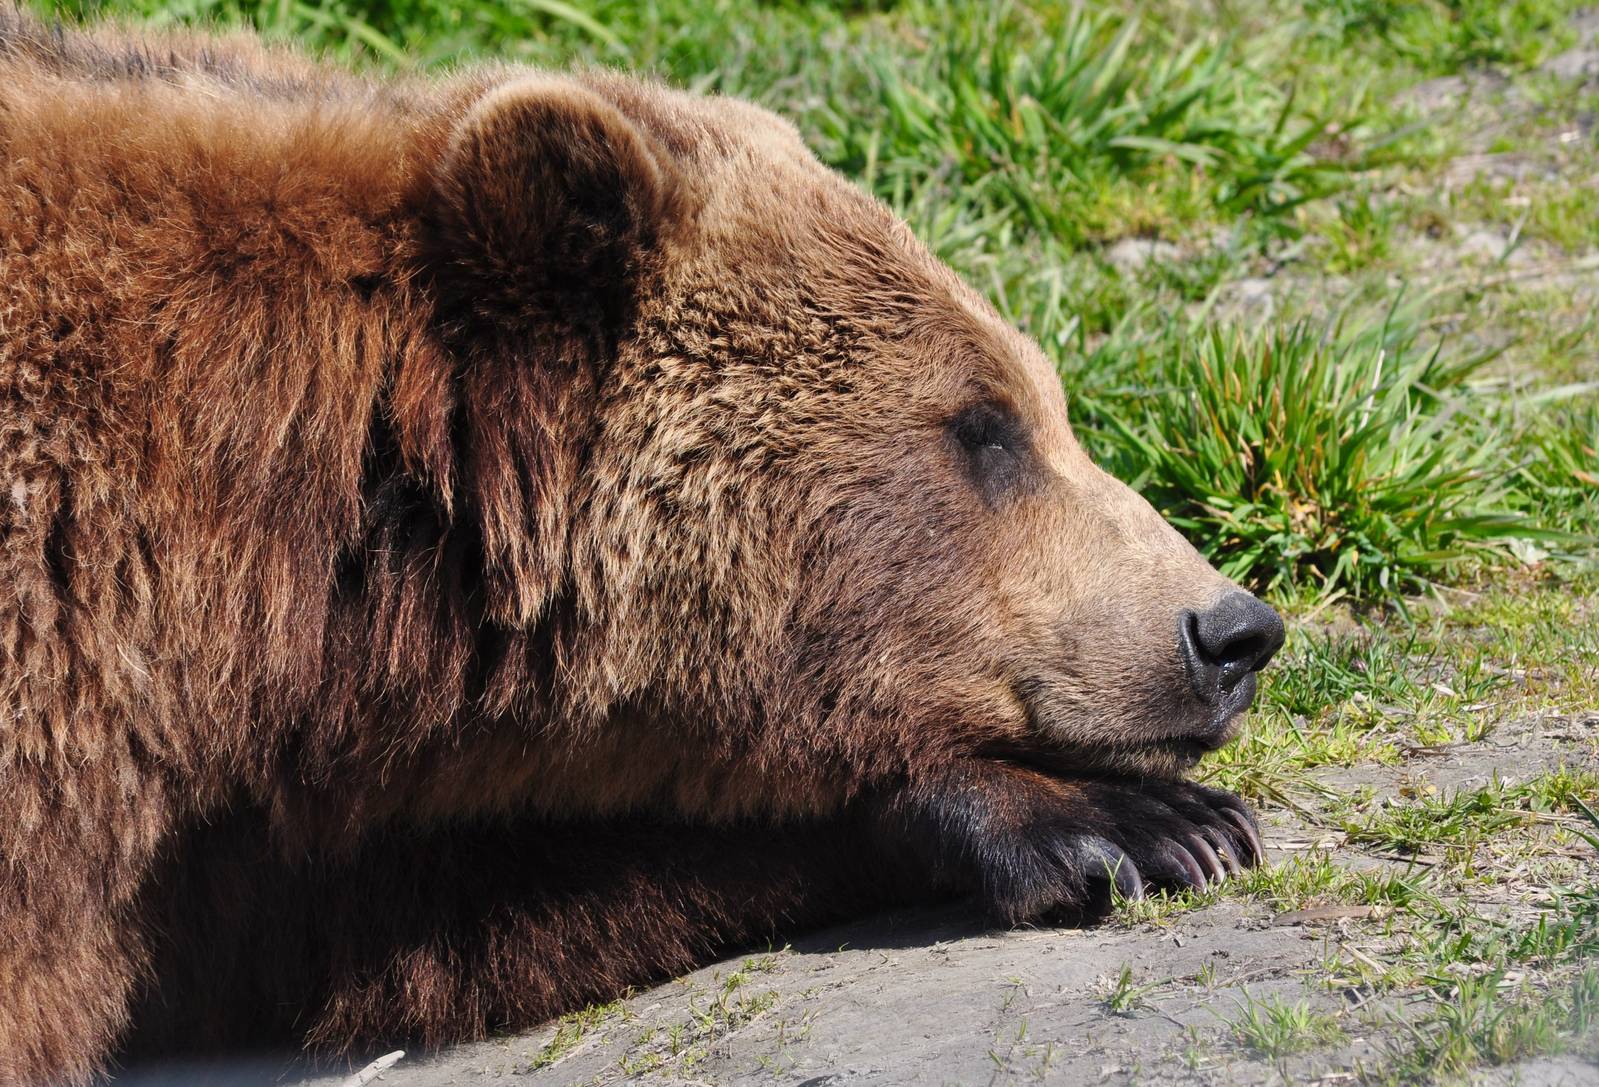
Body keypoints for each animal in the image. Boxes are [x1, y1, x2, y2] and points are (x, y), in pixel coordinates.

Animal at [0, 6, 1285, 1083]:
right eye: (983, 425)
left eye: (1042, 396)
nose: (1232, 629)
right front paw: (1143, 819)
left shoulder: (246, 815)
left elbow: (423, 912)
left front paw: (1144, 823)